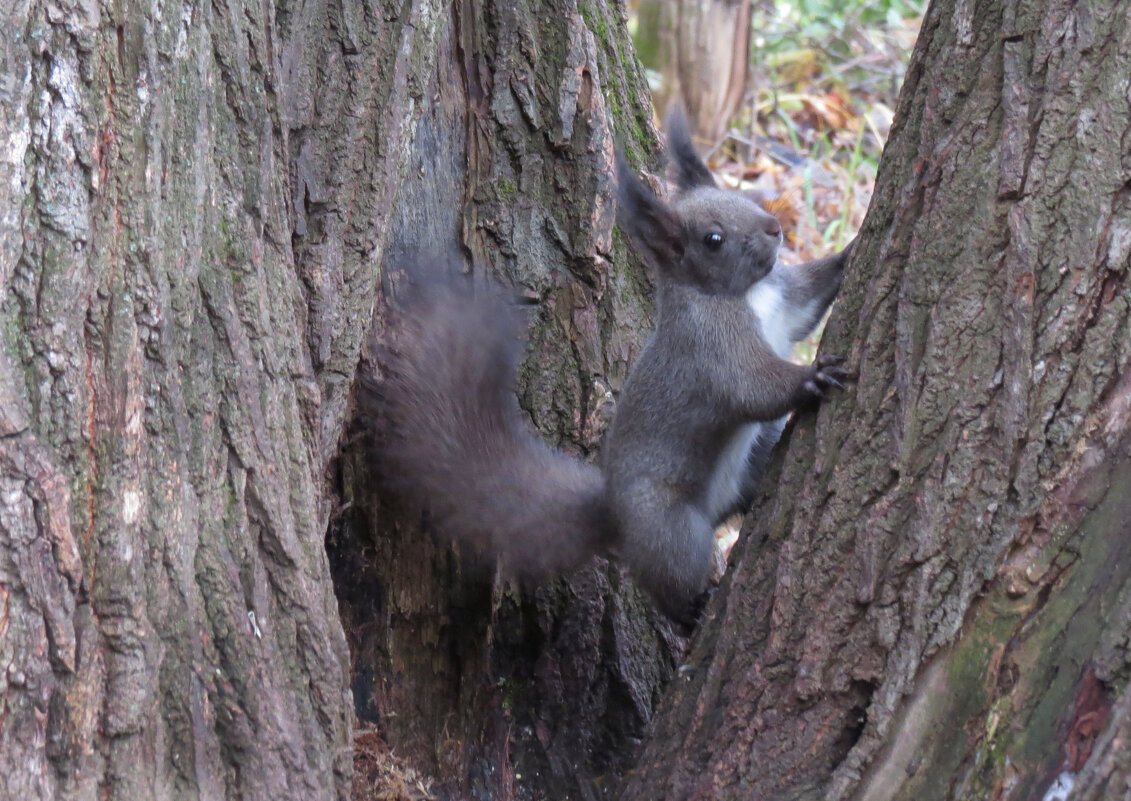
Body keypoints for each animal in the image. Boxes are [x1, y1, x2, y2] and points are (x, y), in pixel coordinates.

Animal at [375, 108, 850, 619]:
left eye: (740, 194)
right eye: (713, 239)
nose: (775, 229)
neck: (744, 294)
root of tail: (614, 511)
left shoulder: (785, 299)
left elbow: (810, 298)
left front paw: (851, 250)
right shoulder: (710, 347)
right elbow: (753, 387)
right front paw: (813, 376)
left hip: (755, 456)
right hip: (668, 526)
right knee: (670, 580)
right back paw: (693, 611)